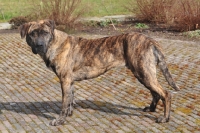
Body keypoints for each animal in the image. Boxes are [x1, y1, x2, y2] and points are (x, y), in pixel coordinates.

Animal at [19, 19, 180, 125]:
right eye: (32, 34)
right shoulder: (69, 81)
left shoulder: (64, 80)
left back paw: (165, 118)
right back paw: (151, 109)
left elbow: (64, 104)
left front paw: (60, 120)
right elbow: (70, 100)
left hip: (144, 73)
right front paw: (69, 114)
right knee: (156, 93)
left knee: (166, 94)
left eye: (45, 33)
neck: (55, 44)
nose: (40, 45)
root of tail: (151, 41)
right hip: (144, 73)